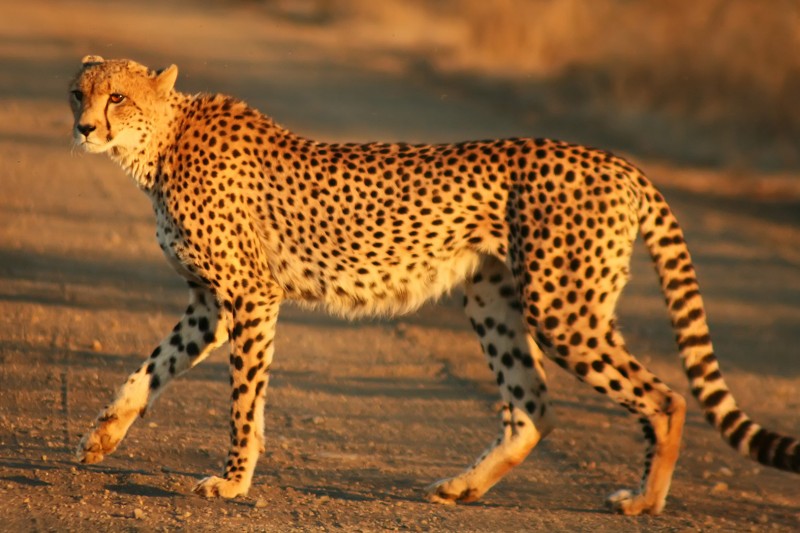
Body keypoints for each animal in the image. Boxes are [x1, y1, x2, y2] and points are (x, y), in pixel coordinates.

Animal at [68, 55, 799, 516]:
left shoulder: (250, 295)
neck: (160, 142)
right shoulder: (209, 304)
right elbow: (151, 367)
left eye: (118, 97)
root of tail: (615, 160)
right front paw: (103, 436)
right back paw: (464, 488)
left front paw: (232, 481)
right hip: (494, 298)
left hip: (562, 309)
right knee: (533, 407)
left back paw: (646, 500)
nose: (83, 127)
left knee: (665, 398)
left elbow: (244, 400)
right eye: (80, 92)